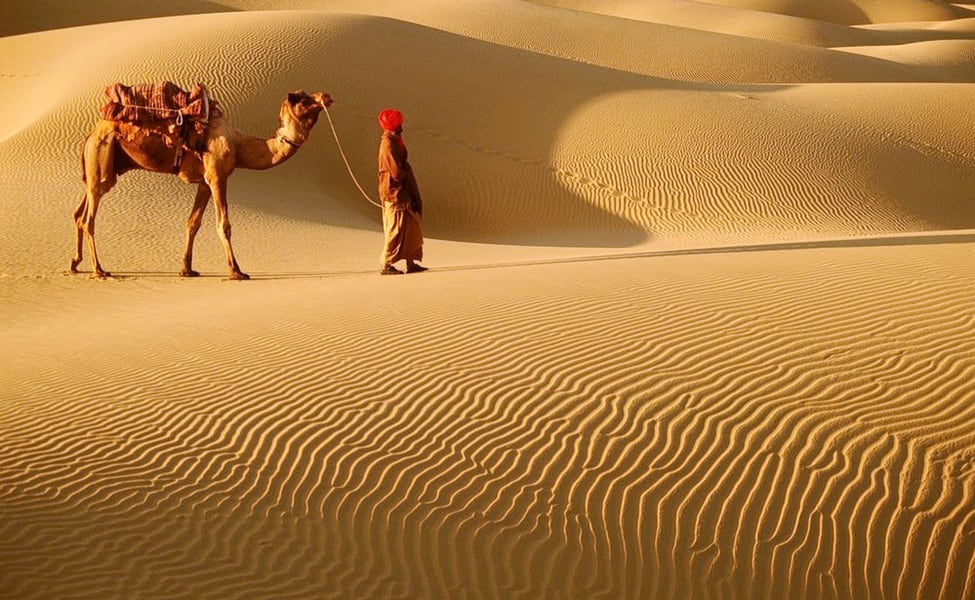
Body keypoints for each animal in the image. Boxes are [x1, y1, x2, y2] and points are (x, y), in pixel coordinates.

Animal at [71, 89, 333, 279]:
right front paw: (236, 271)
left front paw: (187, 269)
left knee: (79, 212)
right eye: (304, 99)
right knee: (88, 218)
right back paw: (99, 270)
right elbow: (223, 224)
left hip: (103, 167)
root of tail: (91, 134)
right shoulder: (218, 176)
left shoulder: (205, 182)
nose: (326, 96)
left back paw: (75, 263)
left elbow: (193, 223)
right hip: (103, 157)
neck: (239, 145)